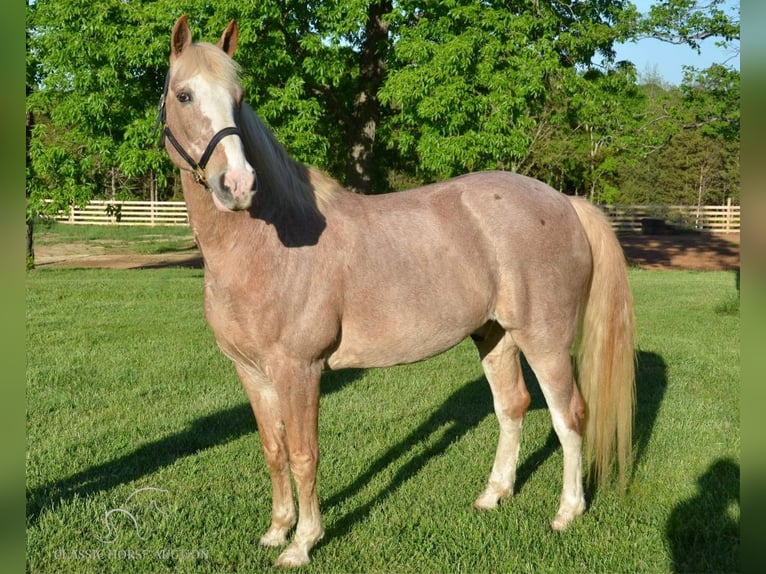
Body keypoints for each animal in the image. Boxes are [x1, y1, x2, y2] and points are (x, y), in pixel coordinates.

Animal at [156, 15, 636, 568]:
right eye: (185, 95)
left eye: (239, 97)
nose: (237, 184)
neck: (270, 242)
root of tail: (563, 200)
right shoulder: (252, 373)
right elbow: (273, 451)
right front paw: (276, 531)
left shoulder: (299, 370)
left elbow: (303, 454)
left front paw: (302, 543)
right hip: (495, 335)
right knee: (512, 407)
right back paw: (493, 495)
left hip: (546, 341)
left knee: (568, 416)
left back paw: (567, 513)